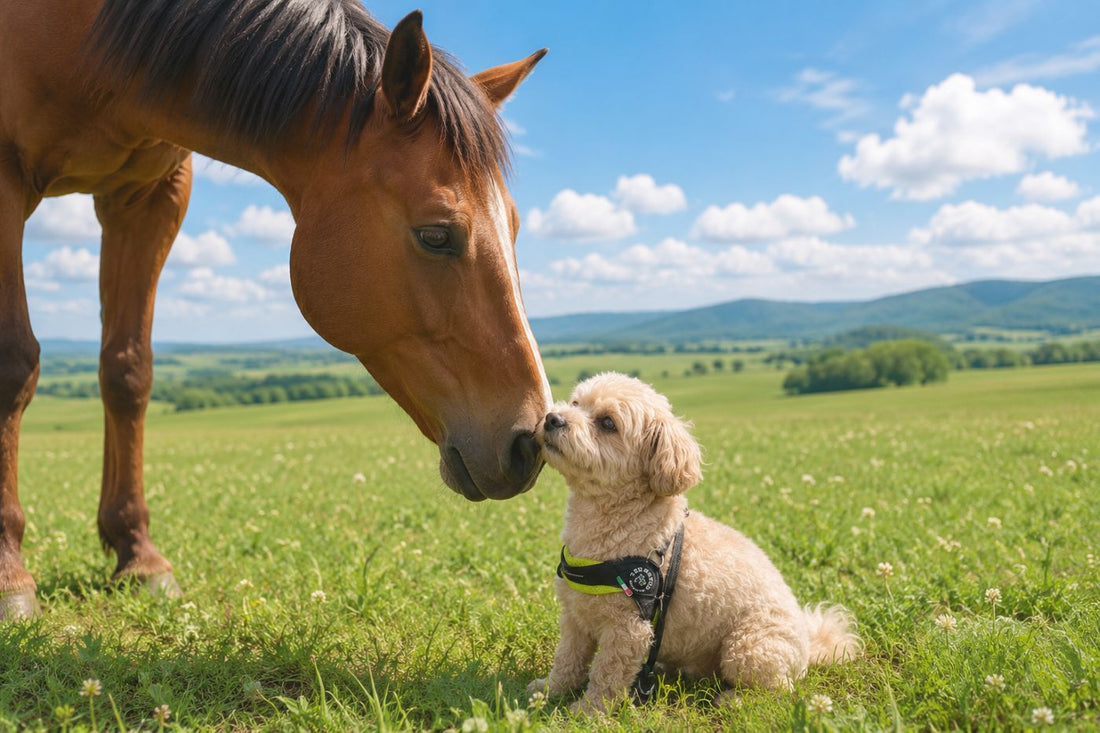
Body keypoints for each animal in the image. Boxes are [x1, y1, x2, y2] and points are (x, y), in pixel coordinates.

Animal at [0, 0, 551, 620]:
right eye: (436, 235)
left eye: (515, 225)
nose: (529, 440)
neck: (82, 31)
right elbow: (14, 364)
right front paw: (10, 573)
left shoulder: (149, 195)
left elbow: (128, 373)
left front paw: (138, 556)